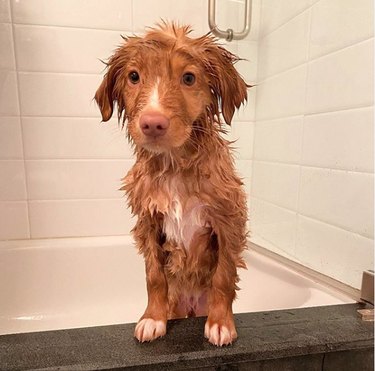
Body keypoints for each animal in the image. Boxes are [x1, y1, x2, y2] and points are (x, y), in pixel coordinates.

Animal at [94, 21, 250, 348]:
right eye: (134, 77)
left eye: (188, 78)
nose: (153, 123)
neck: (175, 166)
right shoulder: (149, 222)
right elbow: (154, 276)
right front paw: (153, 319)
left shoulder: (229, 219)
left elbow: (224, 276)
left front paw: (220, 323)